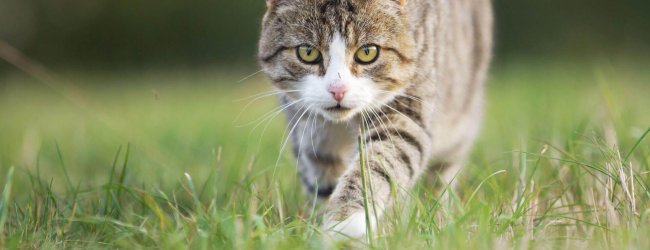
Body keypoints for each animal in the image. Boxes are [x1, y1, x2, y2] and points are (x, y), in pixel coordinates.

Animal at [258, 0, 492, 238]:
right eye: (307, 52)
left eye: (368, 52)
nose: (338, 90)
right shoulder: (308, 128)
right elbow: (321, 176)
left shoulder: (407, 107)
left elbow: (377, 164)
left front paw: (347, 222)